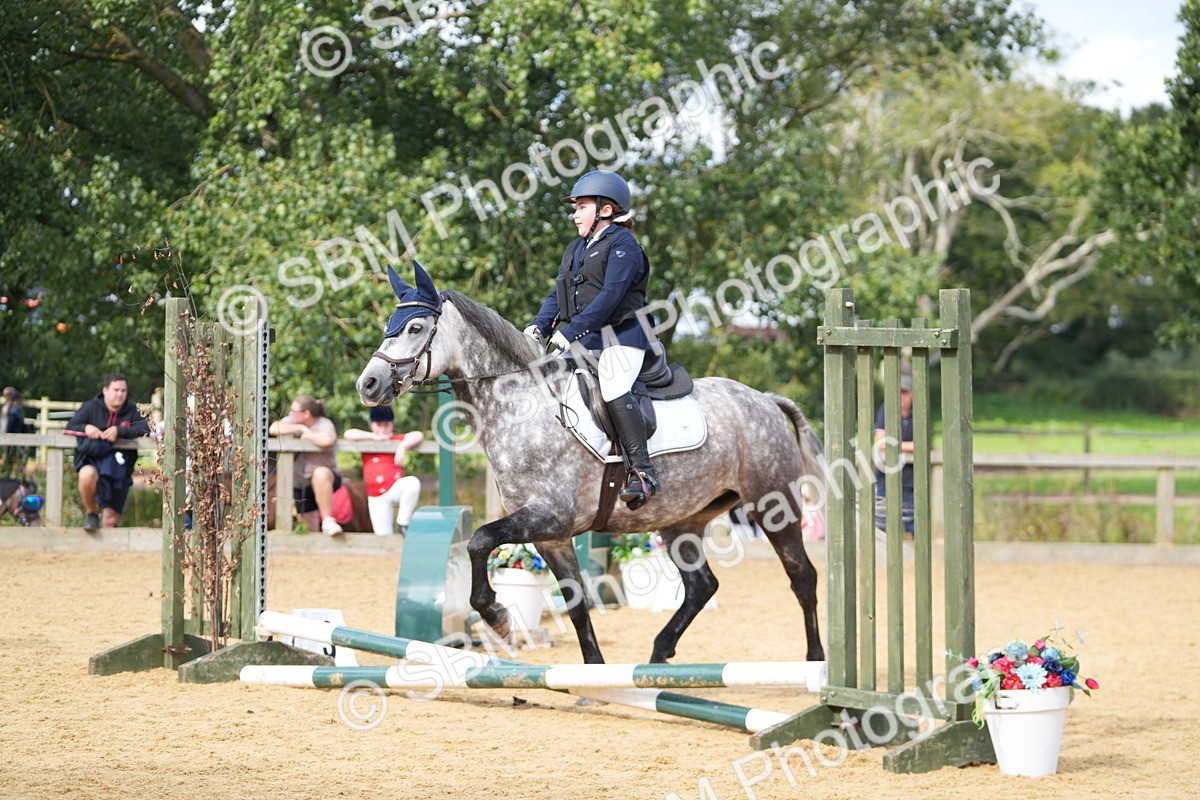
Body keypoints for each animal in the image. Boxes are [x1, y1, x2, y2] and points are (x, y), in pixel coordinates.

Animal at [356, 263, 825, 665]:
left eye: (415, 328)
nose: (369, 384)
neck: (521, 407)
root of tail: (765, 400)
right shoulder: (552, 536)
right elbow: (577, 603)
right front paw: (593, 675)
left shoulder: (551, 516)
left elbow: (478, 540)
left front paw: (497, 616)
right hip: (682, 518)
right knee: (700, 586)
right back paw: (657, 658)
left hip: (772, 504)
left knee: (802, 576)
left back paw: (815, 662)